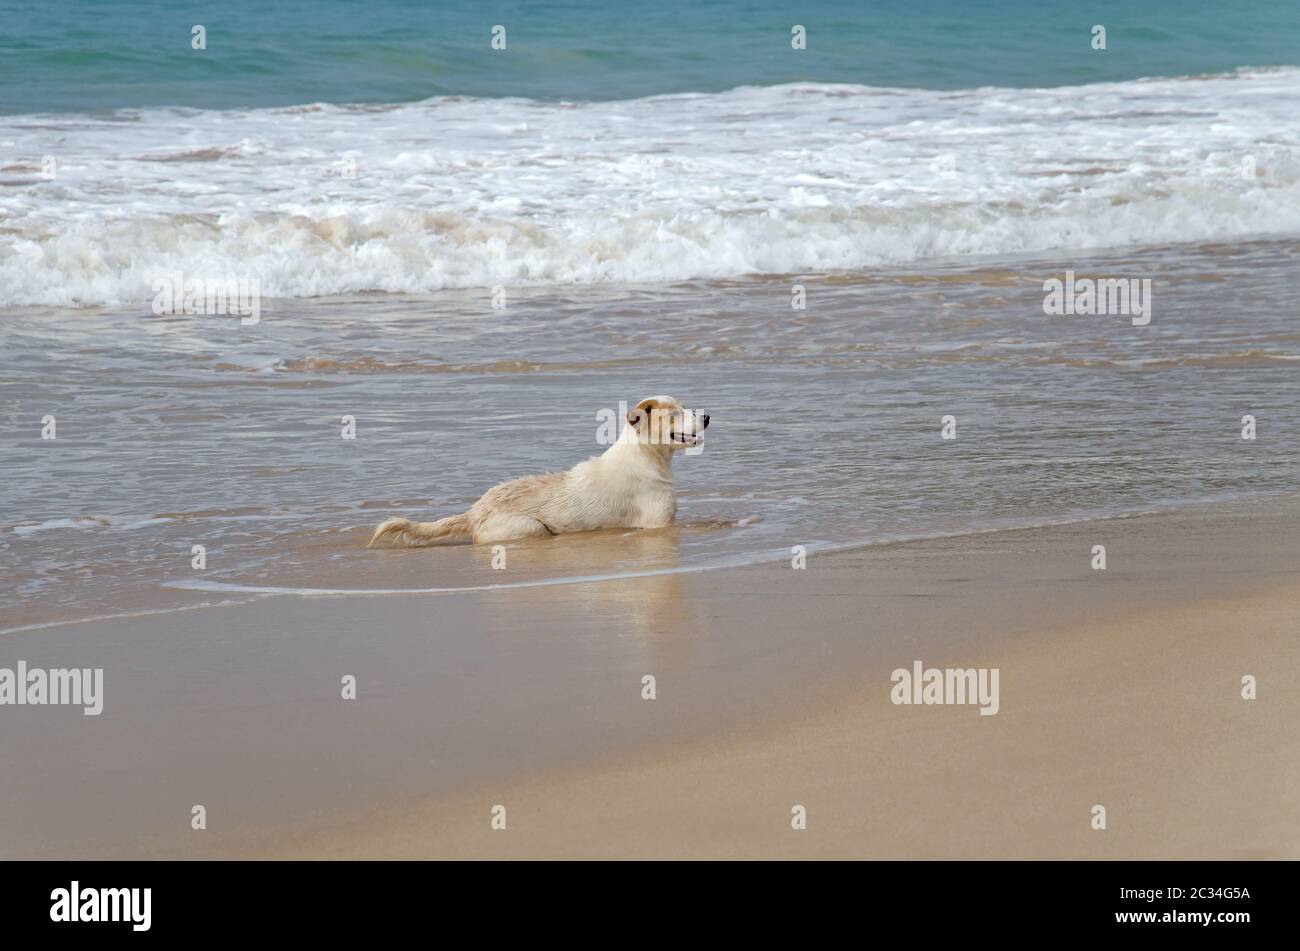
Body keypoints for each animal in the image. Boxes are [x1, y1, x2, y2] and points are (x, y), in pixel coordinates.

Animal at [366, 394, 712, 543]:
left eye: (685, 408)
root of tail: (474, 512)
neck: (645, 455)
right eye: (674, 413)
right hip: (530, 527)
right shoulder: (658, 525)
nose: (708, 417)